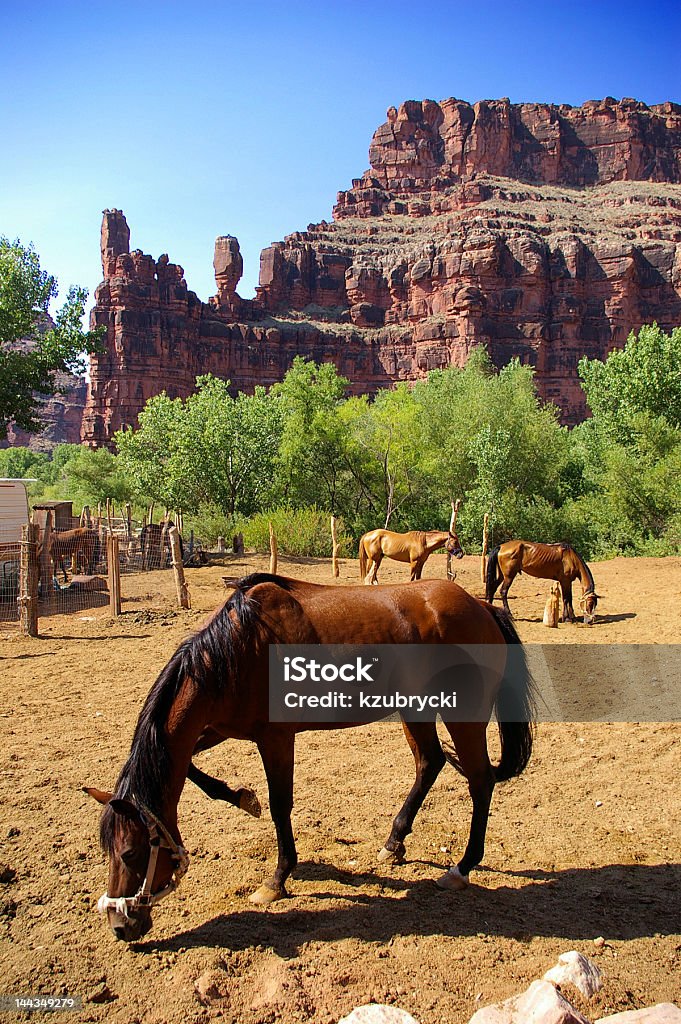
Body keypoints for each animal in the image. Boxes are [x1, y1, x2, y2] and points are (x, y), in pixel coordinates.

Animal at [84, 573, 532, 937]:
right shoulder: (214, 730)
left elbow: (281, 805)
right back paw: (394, 843)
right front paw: (243, 798)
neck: (238, 647)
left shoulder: (276, 739)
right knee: (430, 763)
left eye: (130, 852)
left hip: (462, 715)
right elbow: (193, 769)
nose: (119, 925)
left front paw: (277, 879)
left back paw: (462, 867)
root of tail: (483, 607)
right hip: (416, 708)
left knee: (479, 780)